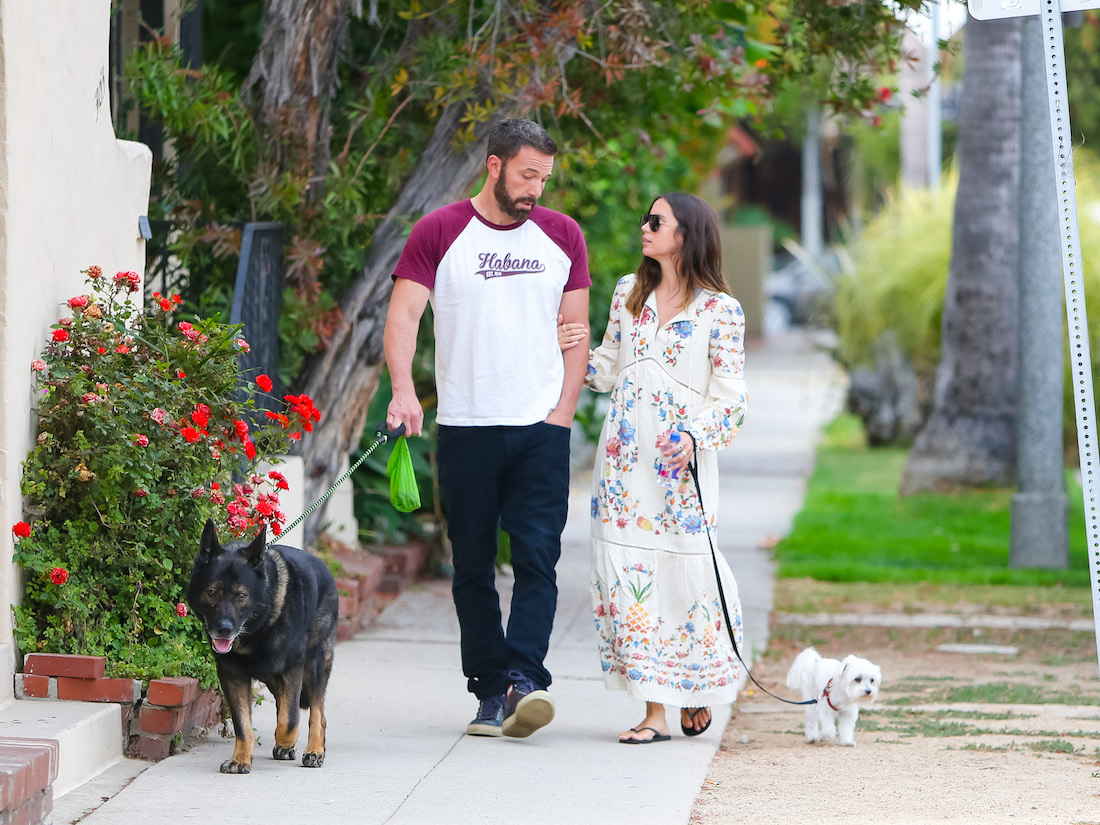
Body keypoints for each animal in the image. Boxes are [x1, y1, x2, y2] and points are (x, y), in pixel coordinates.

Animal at [187, 523, 336, 774]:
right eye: (212, 592)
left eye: (241, 595)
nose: (223, 629)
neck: (259, 628)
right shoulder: (233, 676)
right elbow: (243, 723)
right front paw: (240, 758)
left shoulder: (292, 668)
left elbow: (289, 720)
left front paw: (286, 740)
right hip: (273, 678)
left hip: (314, 664)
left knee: (317, 712)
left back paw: (314, 750)